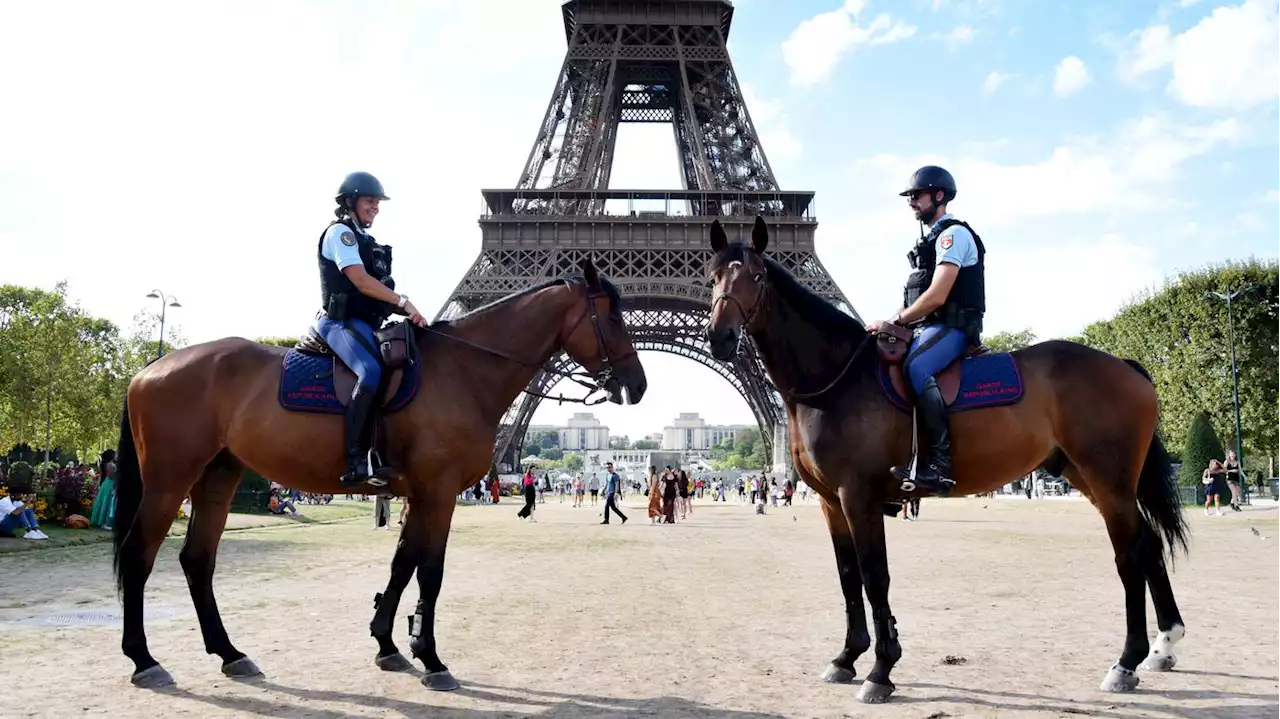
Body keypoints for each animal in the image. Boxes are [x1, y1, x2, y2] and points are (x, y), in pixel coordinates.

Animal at [113, 257, 645, 690]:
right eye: (612, 317)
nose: (638, 384)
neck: (464, 369)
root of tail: (152, 365)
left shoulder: (419, 494)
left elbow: (401, 564)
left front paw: (389, 644)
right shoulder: (438, 492)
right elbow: (430, 570)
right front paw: (431, 657)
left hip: (219, 476)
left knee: (197, 560)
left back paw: (230, 653)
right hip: (169, 479)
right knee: (139, 554)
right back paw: (144, 660)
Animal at [701, 217, 1187, 701]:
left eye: (756, 277)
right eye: (712, 276)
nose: (719, 337)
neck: (834, 379)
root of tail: (1123, 363)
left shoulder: (858, 496)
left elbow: (875, 577)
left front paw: (881, 669)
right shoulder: (830, 501)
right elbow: (848, 576)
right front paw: (847, 657)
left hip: (1108, 479)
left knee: (1130, 556)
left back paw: (1126, 662)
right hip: (1087, 477)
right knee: (1148, 545)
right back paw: (1163, 646)